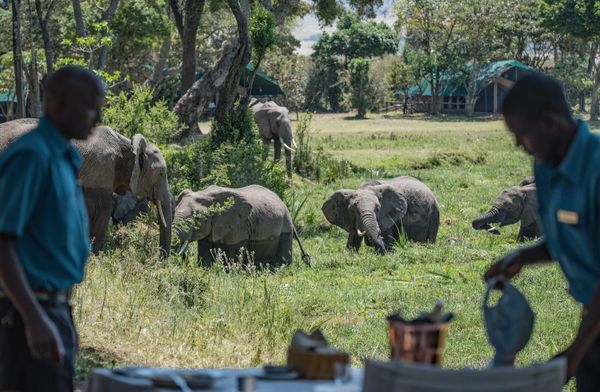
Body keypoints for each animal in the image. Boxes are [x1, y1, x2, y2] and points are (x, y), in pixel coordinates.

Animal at [0, 118, 173, 256]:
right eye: (161, 174)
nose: (161, 260)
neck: (128, 145)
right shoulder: (101, 172)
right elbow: (101, 211)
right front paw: (94, 256)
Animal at [171, 185, 308, 268]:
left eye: (197, 218)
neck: (205, 194)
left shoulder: (239, 225)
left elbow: (235, 252)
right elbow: (205, 252)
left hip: (286, 225)